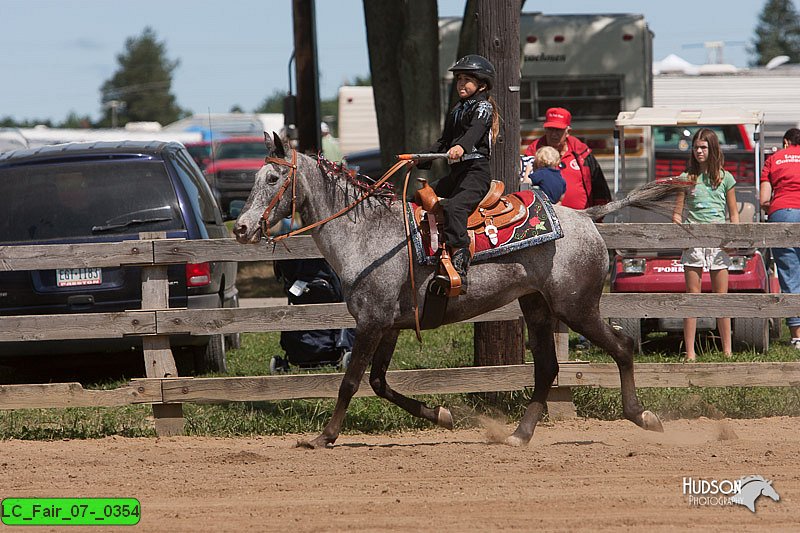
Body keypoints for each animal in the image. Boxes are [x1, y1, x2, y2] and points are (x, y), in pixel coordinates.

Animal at [234, 131, 664, 446]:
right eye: (253, 178)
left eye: (273, 178)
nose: (240, 228)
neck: (367, 234)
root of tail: (587, 217)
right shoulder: (390, 326)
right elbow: (379, 383)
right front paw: (442, 415)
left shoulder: (371, 323)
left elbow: (350, 382)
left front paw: (323, 437)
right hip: (537, 307)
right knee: (547, 368)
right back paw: (519, 434)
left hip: (577, 308)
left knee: (622, 347)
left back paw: (643, 416)